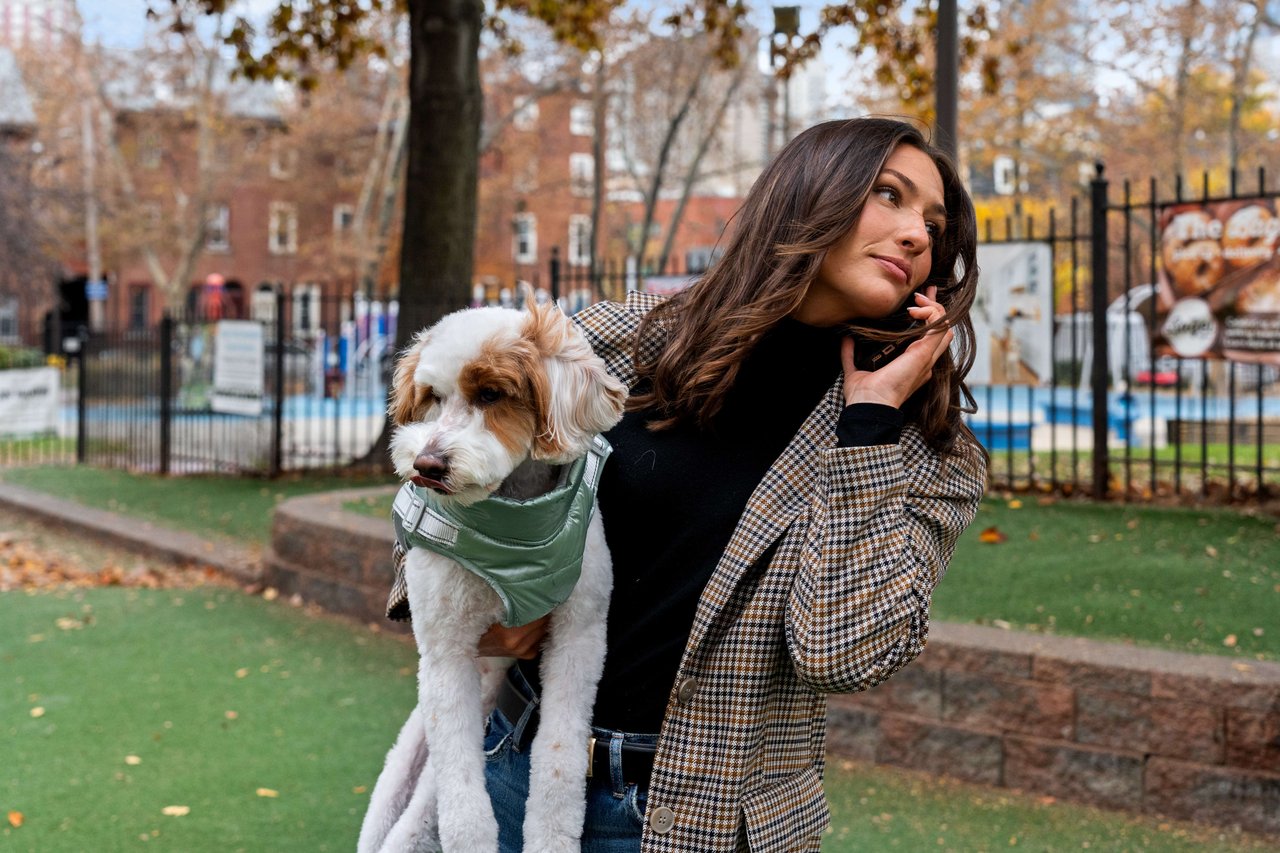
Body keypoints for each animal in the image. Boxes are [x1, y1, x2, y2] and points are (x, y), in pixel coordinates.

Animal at [358, 298, 627, 850]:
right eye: (432, 397)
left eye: (490, 394)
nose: (426, 464)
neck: (514, 527)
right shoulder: (446, 652)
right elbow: (463, 798)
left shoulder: (581, 635)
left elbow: (560, 759)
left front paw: (552, 838)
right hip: (404, 769)